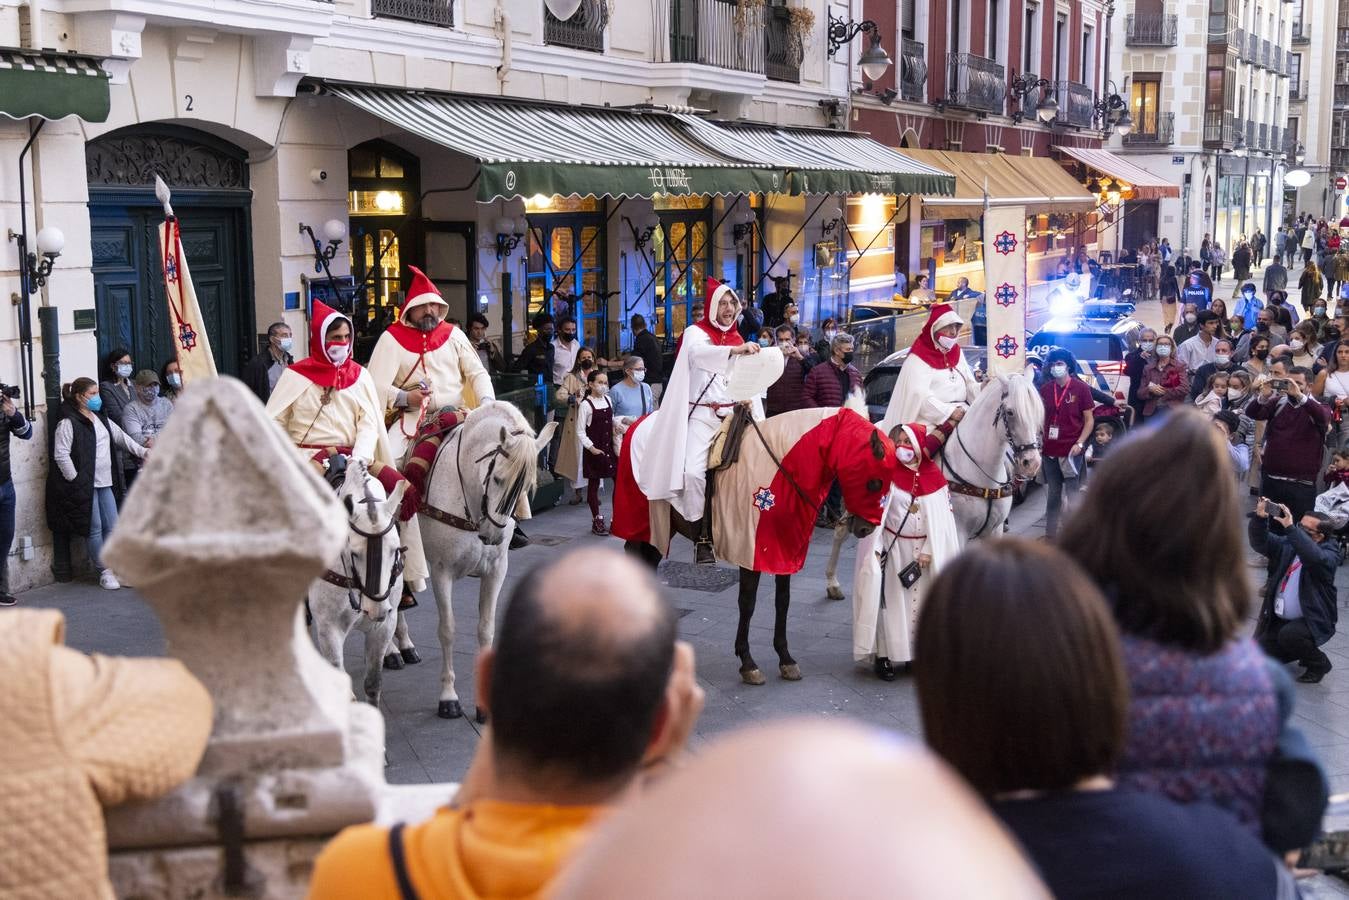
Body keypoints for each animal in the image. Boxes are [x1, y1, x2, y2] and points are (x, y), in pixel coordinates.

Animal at [308, 461, 404, 707]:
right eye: (354, 553)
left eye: (395, 549)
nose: (376, 609)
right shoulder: (329, 628)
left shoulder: (385, 625)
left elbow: (373, 683)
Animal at [393, 402, 555, 723]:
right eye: (498, 478)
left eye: (525, 487)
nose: (492, 535)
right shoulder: (441, 571)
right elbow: (448, 630)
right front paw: (448, 697)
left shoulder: (496, 571)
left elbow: (486, 628)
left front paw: (483, 704)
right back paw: (392, 650)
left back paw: (403, 645)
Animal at [820, 372, 1041, 599]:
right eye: (1010, 412)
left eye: (1037, 411)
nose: (1031, 463)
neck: (978, 469)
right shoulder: (957, 531)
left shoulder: (994, 531)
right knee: (841, 530)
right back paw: (834, 582)